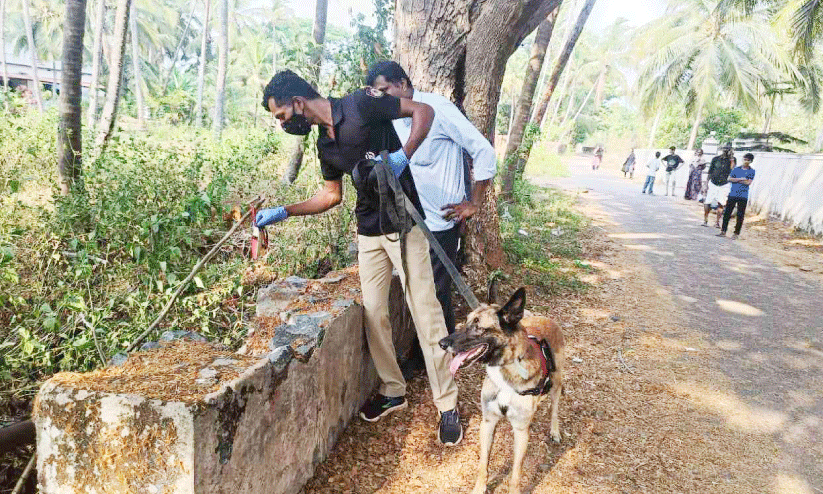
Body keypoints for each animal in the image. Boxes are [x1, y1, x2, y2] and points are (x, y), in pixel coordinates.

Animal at [439, 285, 565, 494]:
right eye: (466, 321)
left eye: (478, 326)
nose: (441, 344)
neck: (506, 369)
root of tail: (547, 319)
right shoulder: (488, 423)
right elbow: (483, 464)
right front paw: (479, 488)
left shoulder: (521, 432)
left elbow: (515, 474)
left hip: (556, 384)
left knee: (555, 408)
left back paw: (555, 430)